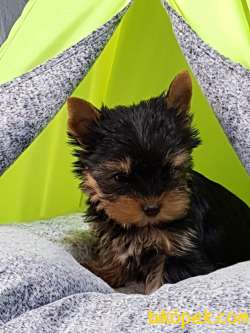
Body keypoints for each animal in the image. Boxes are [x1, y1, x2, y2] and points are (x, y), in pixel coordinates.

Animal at [67, 70, 250, 294]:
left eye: (169, 170)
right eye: (119, 177)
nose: (152, 209)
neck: (145, 228)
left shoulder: (182, 250)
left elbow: (164, 279)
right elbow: (117, 254)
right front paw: (102, 272)